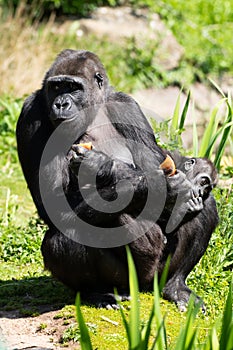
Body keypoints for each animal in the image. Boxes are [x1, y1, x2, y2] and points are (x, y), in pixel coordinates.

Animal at [16, 49, 218, 308]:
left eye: (72, 87)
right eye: (56, 87)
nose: (60, 103)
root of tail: (143, 286)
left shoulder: (128, 107)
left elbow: (157, 167)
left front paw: (103, 166)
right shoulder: (30, 113)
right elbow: (54, 202)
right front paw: (145, 182)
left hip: (156, 273)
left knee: (205, 206)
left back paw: (175, 285)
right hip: (127, 279)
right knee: (65, 236)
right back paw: (98, 293)